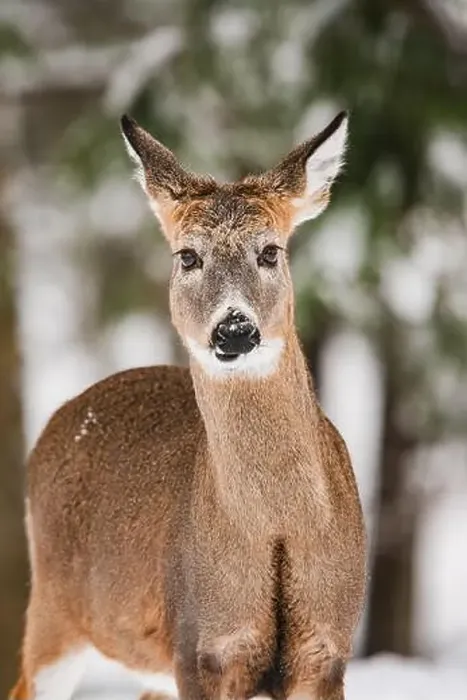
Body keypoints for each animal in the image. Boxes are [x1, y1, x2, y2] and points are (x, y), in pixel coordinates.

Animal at [10, 111, 366, 700]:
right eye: (188, 257)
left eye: (270, 251)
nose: (235, 328)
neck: (276, 531)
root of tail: (59, 419)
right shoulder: (201, 644)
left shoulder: (327, 649)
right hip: (54, 610)